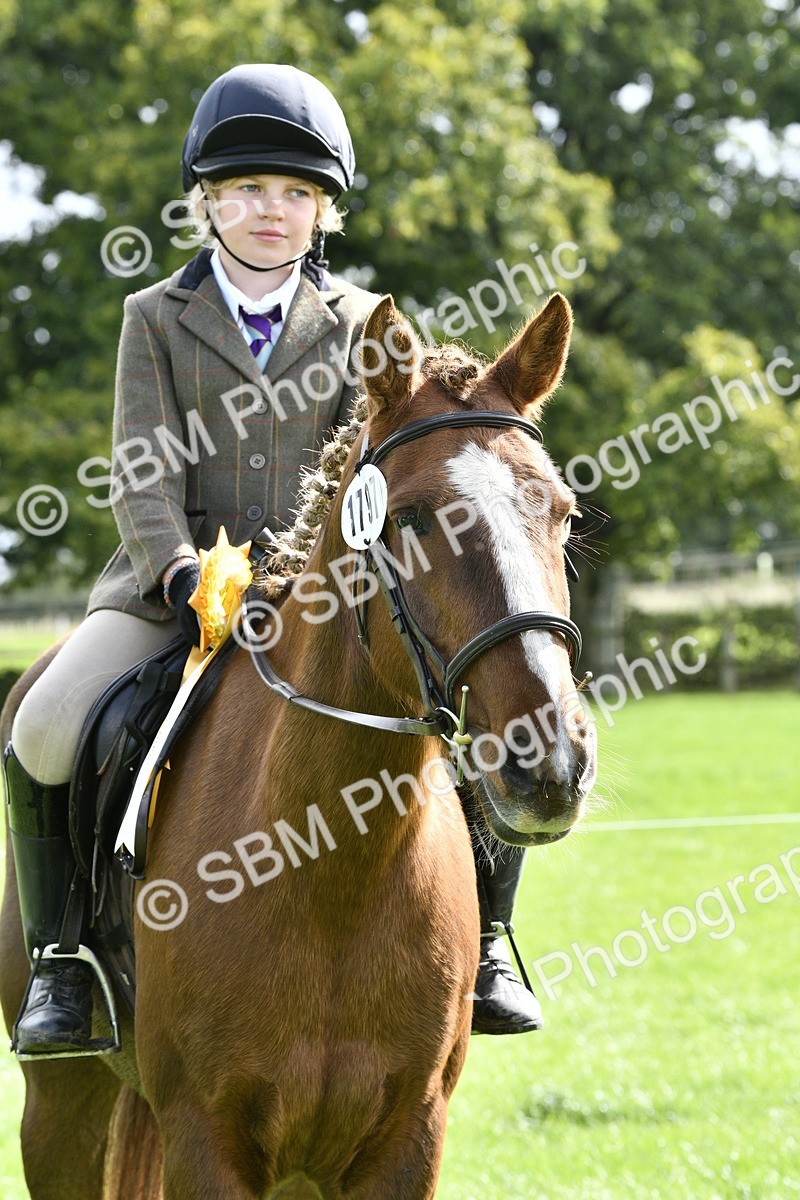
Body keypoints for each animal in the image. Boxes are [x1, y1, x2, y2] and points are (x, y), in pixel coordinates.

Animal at [0, 292, 597, 1200]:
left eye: (561, 511)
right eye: (410, 517)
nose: (549, 761)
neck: (329, 869)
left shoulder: (406, 1139)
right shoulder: (205, 1139)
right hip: (62, 1107)